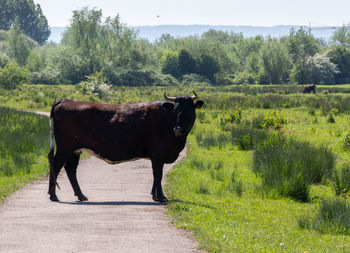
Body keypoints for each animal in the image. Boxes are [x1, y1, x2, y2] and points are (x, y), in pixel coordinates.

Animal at [47, 92, 204, 203]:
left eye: (190, 110)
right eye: (175, 110)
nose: (178, 129)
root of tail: (65, 100)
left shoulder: (157, 156)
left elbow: (156, 176)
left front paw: (154, 195)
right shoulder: (158, 154)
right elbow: (158, 175)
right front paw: (161, 197)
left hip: (75, 150)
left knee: (70, 169)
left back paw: (81, 195)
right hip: (64, 148)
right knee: (56, 165)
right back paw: (53, 195)